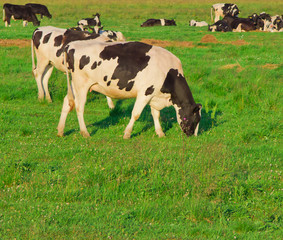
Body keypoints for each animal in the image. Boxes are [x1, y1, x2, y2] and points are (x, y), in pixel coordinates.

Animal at [57, 40, 203, 139]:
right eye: (195, 119)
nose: (192, 135)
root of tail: (71, 45)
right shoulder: (145, 92)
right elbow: (136, 114)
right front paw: (127, 134)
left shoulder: (154, 95)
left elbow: (156, 114)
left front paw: (160, 133)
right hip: (81, 85)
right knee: (79, 107)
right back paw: (85, 132)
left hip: (74, 85)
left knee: (67, 103)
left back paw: (60, 131)